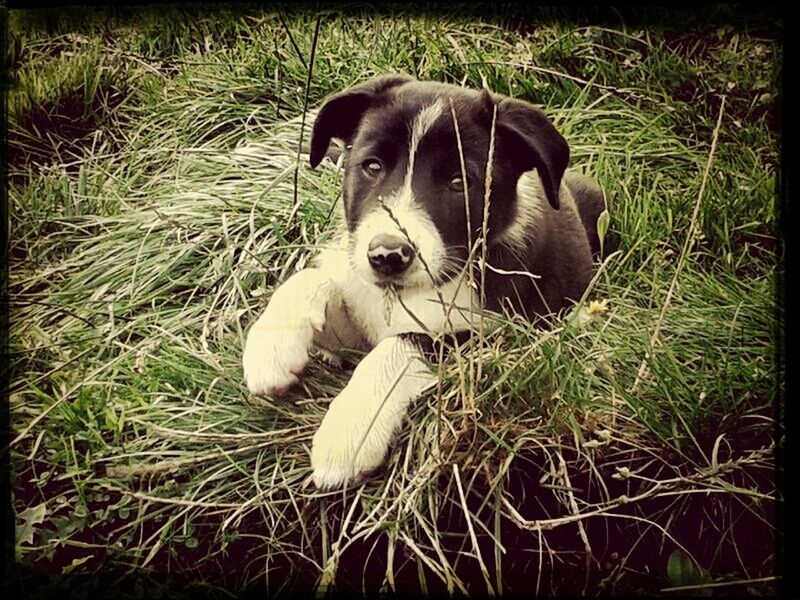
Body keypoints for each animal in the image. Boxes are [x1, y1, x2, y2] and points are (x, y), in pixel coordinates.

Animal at [241, 75, 604, 488]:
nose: (387, 255)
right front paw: (271, 349)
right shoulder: (359, 314)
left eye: (459, 182)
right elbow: (311, 278)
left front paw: (349, 431)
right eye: (372, 166)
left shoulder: (500, 336)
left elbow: (401, 344)